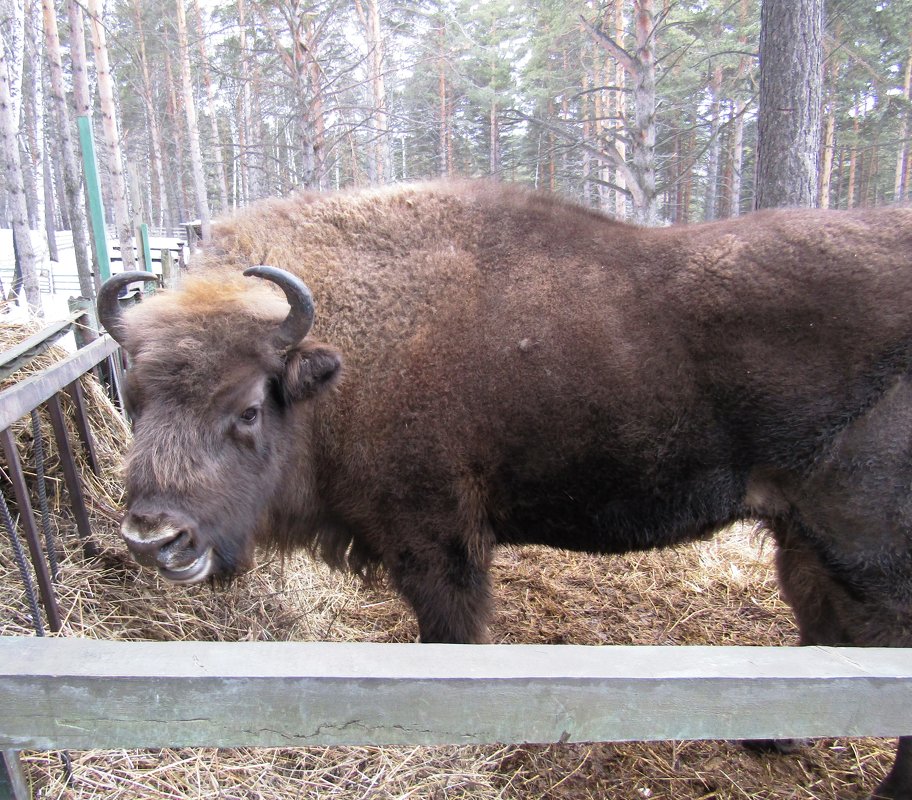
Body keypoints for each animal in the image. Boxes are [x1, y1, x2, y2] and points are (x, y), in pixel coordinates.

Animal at [100, 183, 912, 800]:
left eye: (246, 408)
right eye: (135, 395)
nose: (154, 537)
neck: (345, 358)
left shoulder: (434, 542)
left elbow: (450, 638)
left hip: (867, 552)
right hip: (805, 536)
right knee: (822, 633)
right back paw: (774, 737)